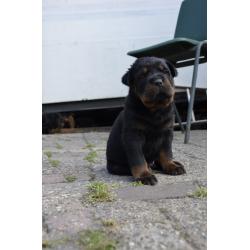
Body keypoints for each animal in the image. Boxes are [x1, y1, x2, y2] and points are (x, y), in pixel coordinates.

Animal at [105, 57, 186, 186]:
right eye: (142, 75)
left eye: (165, 71)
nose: (158, 81)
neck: (154, 110)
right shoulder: (133, 136)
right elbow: (138, 158)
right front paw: (144, 175)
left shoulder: (167, 133)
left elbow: (167, 152)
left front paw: (171, 165)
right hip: (115, 165)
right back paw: (149, 168)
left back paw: (174, 164)